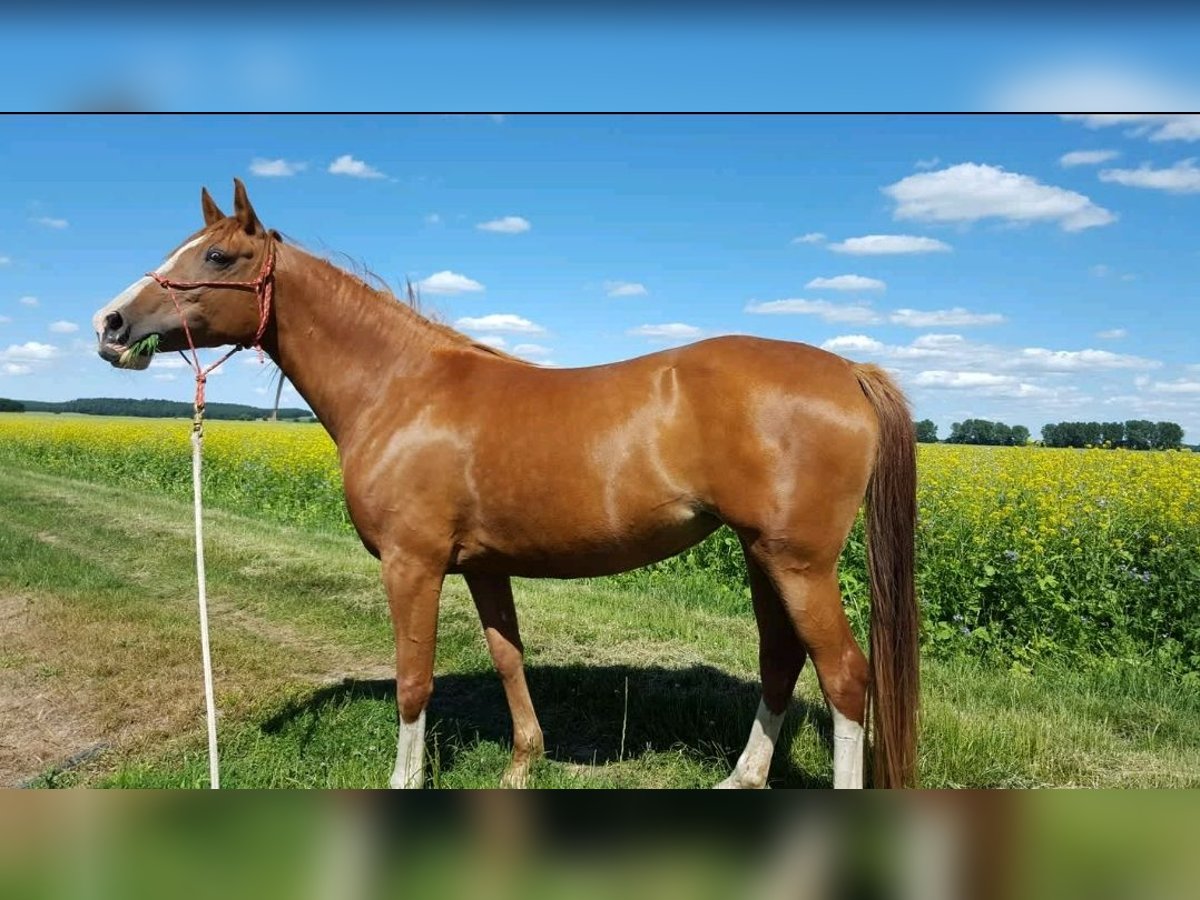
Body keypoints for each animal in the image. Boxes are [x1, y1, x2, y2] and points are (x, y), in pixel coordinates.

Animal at [91, 181, 916, 787]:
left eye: (220, 255)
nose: (110, 323)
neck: (400, 388)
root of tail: (848, 370)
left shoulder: (413, 565)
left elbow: (413, 682)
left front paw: (406, 781)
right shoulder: (484, 567)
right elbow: (507, 657)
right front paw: (524, 764)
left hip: (797, 562)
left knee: (846, 678)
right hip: (760, 554)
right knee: (781, 661)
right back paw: (741, 778)